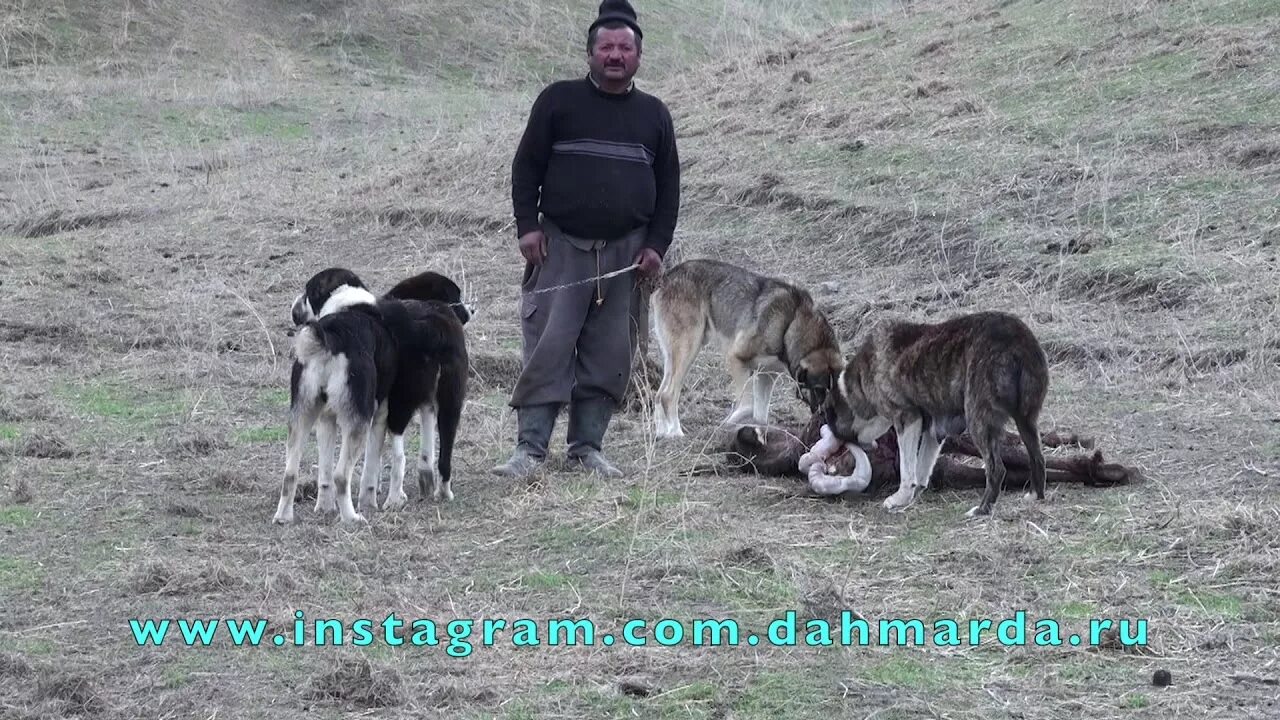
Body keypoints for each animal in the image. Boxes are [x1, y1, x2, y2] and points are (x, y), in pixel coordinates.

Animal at [275, 265, 471, 520]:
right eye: (457, 296)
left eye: (307, 292)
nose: (293, 308)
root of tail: (332, 337)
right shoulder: (380, 416)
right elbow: (372, 467)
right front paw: (370, 501)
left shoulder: (327, 418)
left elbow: (328, 473)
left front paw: (326, 507)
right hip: (434, 404)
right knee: (361, 469)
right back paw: (365, 513)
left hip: (303, 415)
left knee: (292, 473)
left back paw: (284, 517)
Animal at [655, 258, 844, 438]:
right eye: (818, 390)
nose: (826, 420)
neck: (790, 322)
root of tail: (668, 276)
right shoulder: (736, 358)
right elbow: (748, 406)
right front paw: (727, 423)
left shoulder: (766, 375)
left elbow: (760, 415)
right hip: (689, 349)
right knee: (668, 394)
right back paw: (675, 432)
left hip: (673, 356)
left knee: (659, 394)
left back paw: (662, 432)